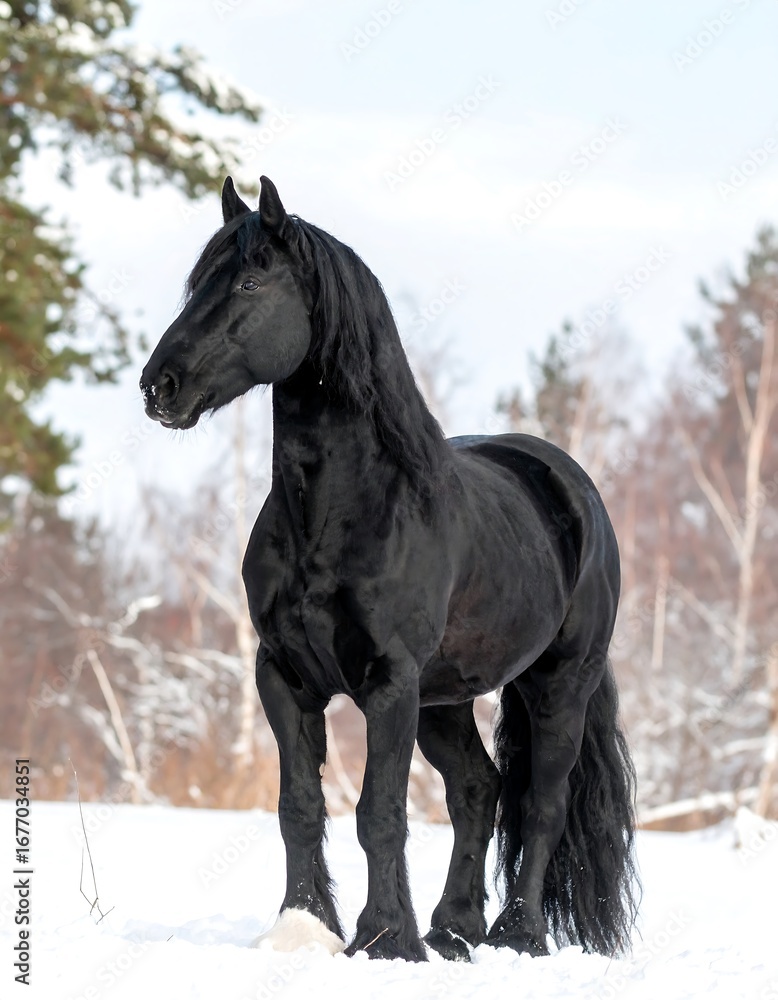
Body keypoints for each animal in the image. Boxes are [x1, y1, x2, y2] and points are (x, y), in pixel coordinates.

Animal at [140, 176, 639, 963]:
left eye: (250, 281)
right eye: (197, 285)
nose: (160, 386)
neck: (344, 513)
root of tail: (569, 483)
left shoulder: (389, 683)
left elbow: (379, 811)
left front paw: (383, 939)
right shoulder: (284, 676)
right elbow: (298, 805)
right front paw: (305, 926)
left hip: (558, 684)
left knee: (542, 802)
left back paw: (517, 934)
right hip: (446, 700)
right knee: (478, 790)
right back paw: (454, 928)